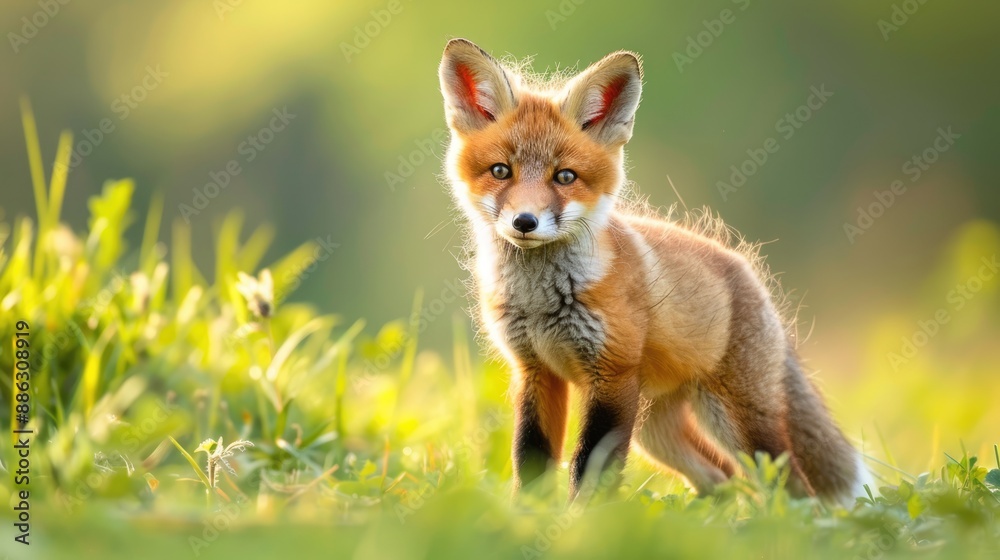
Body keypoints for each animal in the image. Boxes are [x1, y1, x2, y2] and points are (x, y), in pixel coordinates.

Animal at [437, 38, 873, 505]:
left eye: (565, 177)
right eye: (501, 171)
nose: (525, 222)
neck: (540, 302)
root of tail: (748, 272)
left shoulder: (612, 376)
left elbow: (590, 468)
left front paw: (583, 520)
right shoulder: (535, 372)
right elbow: (530, 461)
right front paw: (526, 516)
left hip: (737, 425)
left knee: (793, 489)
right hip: (656, 431)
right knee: (720, 476)